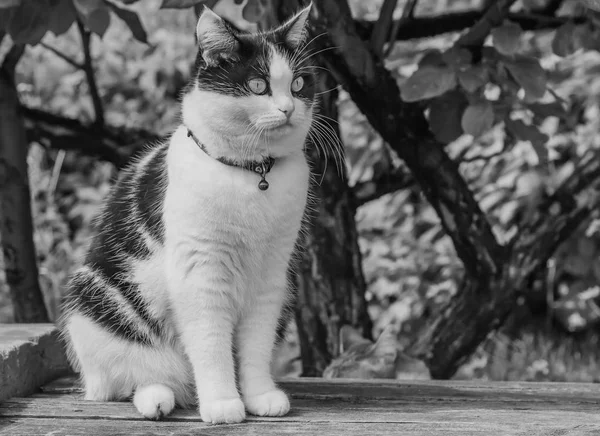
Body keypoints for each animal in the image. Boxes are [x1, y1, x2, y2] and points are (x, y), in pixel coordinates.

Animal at [58, 3, 316, 424]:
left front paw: (260, 396)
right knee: (130, 379)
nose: (288, 108)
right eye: (258, 85)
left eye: (298, 84)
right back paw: (158, 398)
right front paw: (223, 404)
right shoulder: (201, 271)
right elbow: (211, 344)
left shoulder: (271, 274)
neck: (252, 174)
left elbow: (256, 345)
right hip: (91, 303)